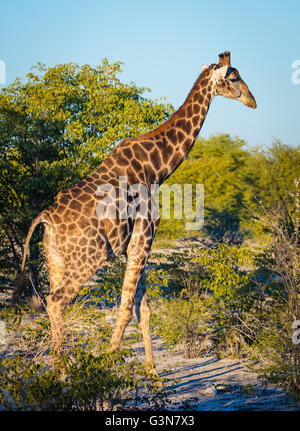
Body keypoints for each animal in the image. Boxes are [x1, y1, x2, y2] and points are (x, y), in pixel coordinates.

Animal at [14, 50, 256, 368]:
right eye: (235, 77)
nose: (253, 100)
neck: (157, 168)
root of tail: (46, 217)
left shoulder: (137, 244)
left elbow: (144, 310)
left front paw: (152, 372)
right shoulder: (144, 237)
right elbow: (127, 309)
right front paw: (109, 364)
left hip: (55, 258)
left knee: (54, 300)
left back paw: (59, 364)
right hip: (89, 257)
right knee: (56, 301)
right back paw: (66, 369)